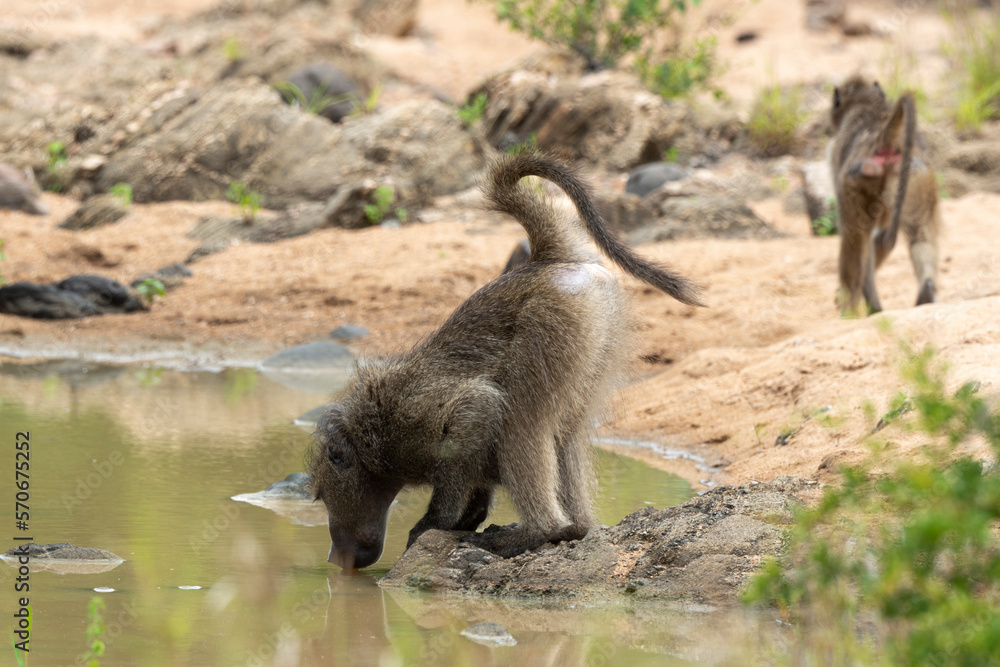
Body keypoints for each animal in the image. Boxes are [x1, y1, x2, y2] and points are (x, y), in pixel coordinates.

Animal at [307, 149, 703, 569]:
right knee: (567, 434)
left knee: (520, 421)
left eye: (322, 495)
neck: (370, 437)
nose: (335, 557)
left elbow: (477, 411)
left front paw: (433, 524)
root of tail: (547, 259)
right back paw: (576, 528)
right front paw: (469, 516)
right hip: (598, 326)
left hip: (551, 319)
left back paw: (535, 534)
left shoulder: (414, 420)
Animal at [829, 75, 941, 316]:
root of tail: (887, 139)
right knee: (920, 234)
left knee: (854, 240)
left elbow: (865, 242)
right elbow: (880, 241)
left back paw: (850, 310)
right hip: (918, 176)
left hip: (860, 179)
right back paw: (926, 291)